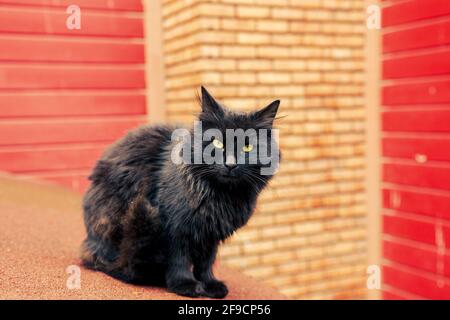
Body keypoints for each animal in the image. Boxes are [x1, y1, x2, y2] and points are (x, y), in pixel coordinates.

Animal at [79, 86, 280, 298]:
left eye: (247, 147)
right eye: (217, 143)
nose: (231, 164)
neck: (220, 195)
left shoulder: (210, 235)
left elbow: (206, 263)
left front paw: (210, 285)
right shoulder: (177, 228)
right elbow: (180, 260)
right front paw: (185, 285)